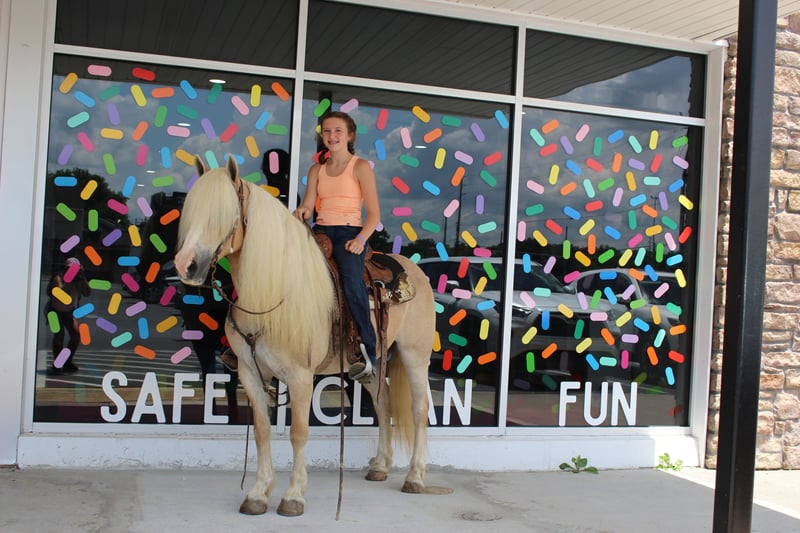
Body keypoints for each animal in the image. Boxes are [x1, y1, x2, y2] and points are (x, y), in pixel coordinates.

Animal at [174, 155, 435, 517]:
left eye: (222, 213)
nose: (185, 265)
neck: (271, 291)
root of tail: (416, 272)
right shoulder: (250, 373)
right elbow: (262, 432)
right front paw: (258, 494)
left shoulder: (299, 376)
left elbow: (298, 433)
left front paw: (293, 496)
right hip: (371, 364)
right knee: (383, 406)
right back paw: (380, 466)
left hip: (414, 354)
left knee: (419, 408)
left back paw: (415, 477)